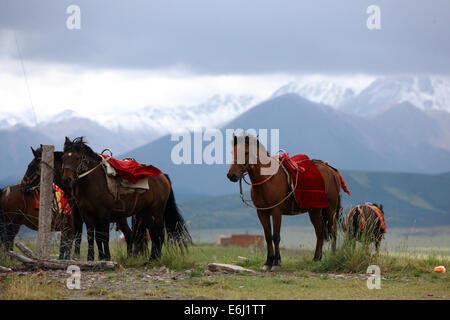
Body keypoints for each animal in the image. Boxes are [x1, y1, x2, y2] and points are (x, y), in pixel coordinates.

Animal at [60, 136, 190, 262]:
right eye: (63, 157)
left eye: (77, 158)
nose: (66, 180)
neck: (94, 182)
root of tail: (163, 176)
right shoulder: (87, 215)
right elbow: (92, 237)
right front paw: (91, 259)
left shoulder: (104, 214)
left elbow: (104, 237)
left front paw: (106, 258)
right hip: (145, 213)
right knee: (153, 234)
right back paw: (152, 258)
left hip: (156, 211)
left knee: (159, 234)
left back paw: (154, 259)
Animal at [227, 132, 350, 270]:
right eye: (232, 152)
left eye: (246, 152)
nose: (232, 175)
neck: (267, 180)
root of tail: (332, 170)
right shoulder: (262, 212)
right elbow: (268, 237)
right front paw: (268, 262)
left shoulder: (276, 212)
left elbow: (276, 237)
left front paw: (276, 262)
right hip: (314, 210)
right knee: (319, 230)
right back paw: (316, 258)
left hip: (330, 209)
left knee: (333, 231)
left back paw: (333, 256)